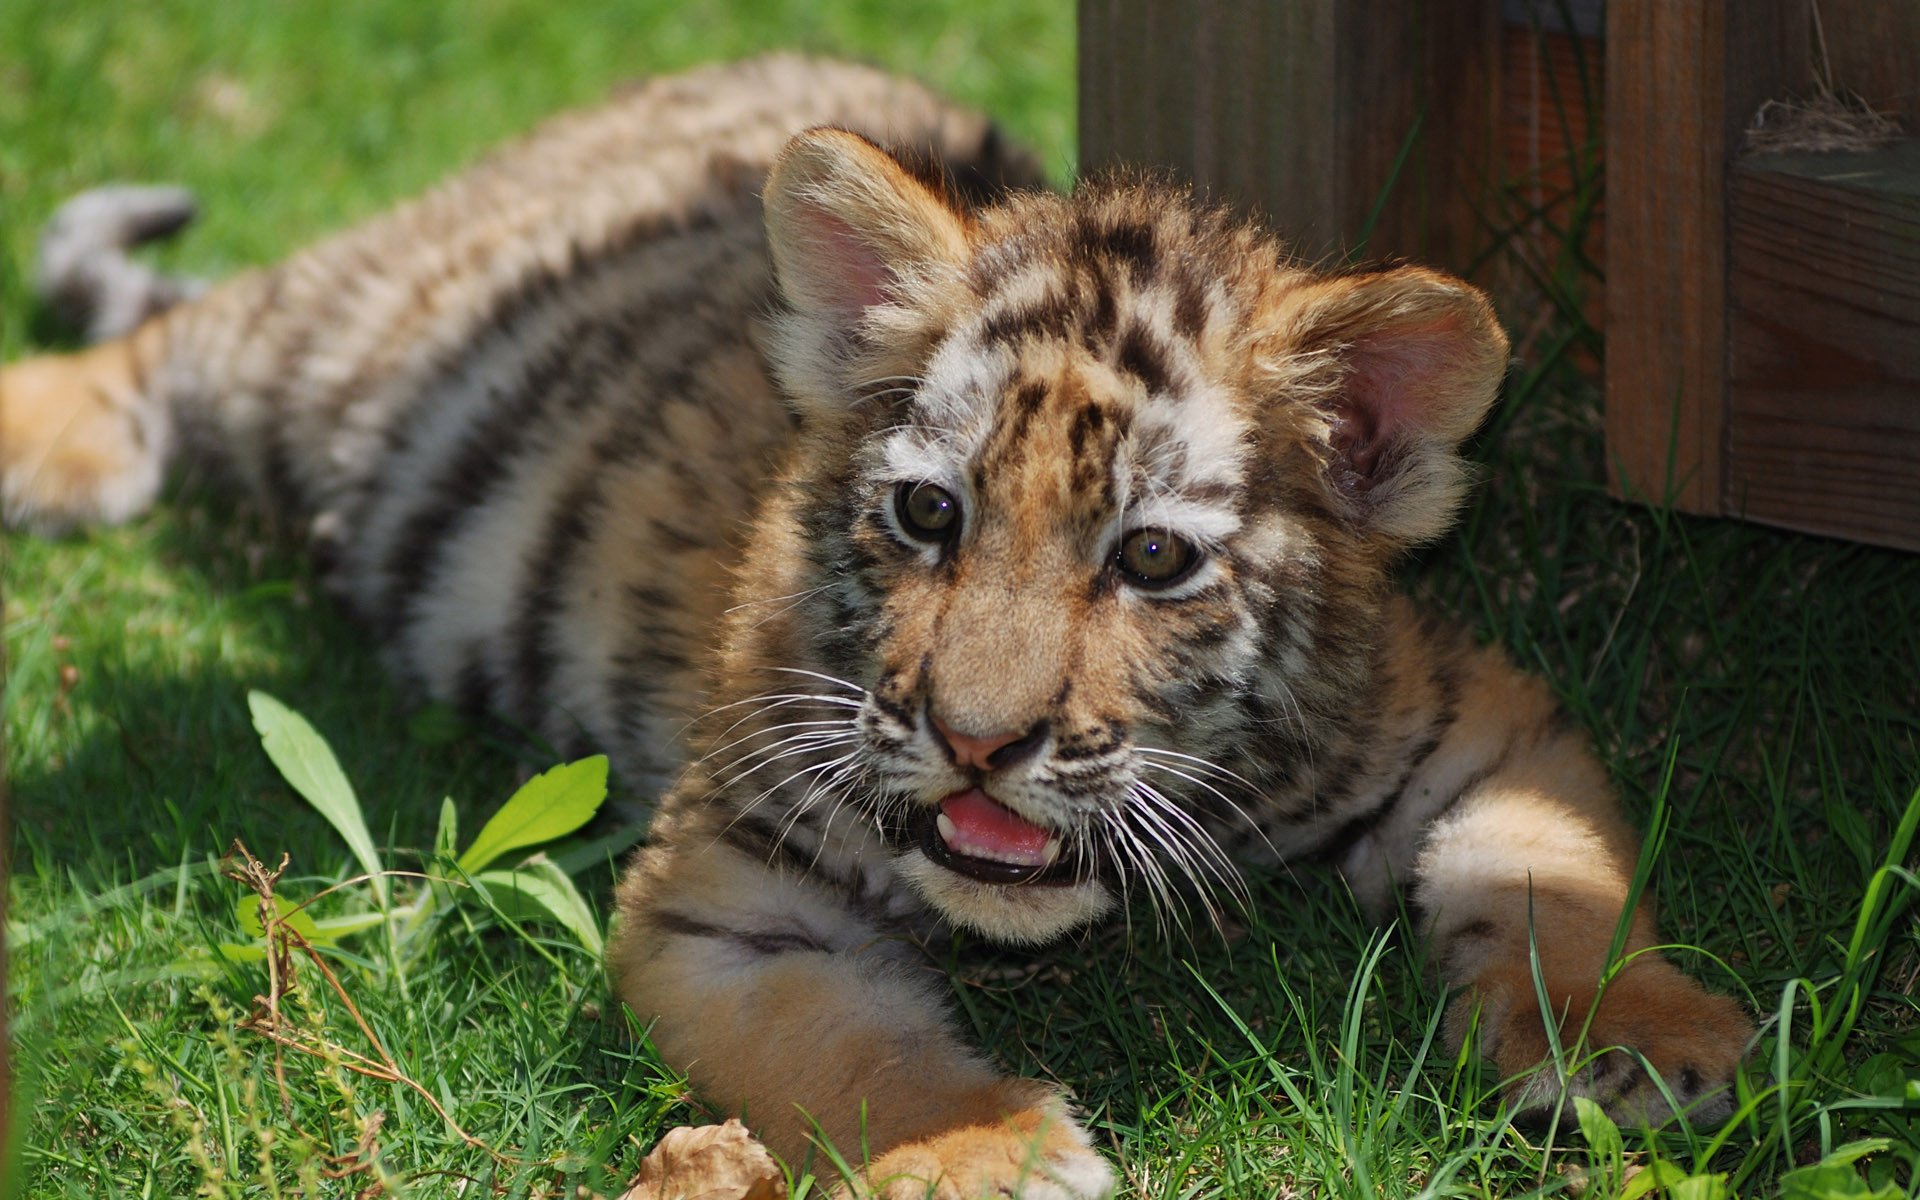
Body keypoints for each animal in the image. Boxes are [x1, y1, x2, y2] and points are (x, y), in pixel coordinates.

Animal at [0, 54, 1751, 1199]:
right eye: (928, 517)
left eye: (1152, 559)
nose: (979, 745)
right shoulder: (721, 896)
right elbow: (844, 1047)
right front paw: (981, 1152)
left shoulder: (1475, 720)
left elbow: (1555, 877)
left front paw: (1634, 1037)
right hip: (347, 344)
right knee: (174, 336)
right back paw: (44, 449)